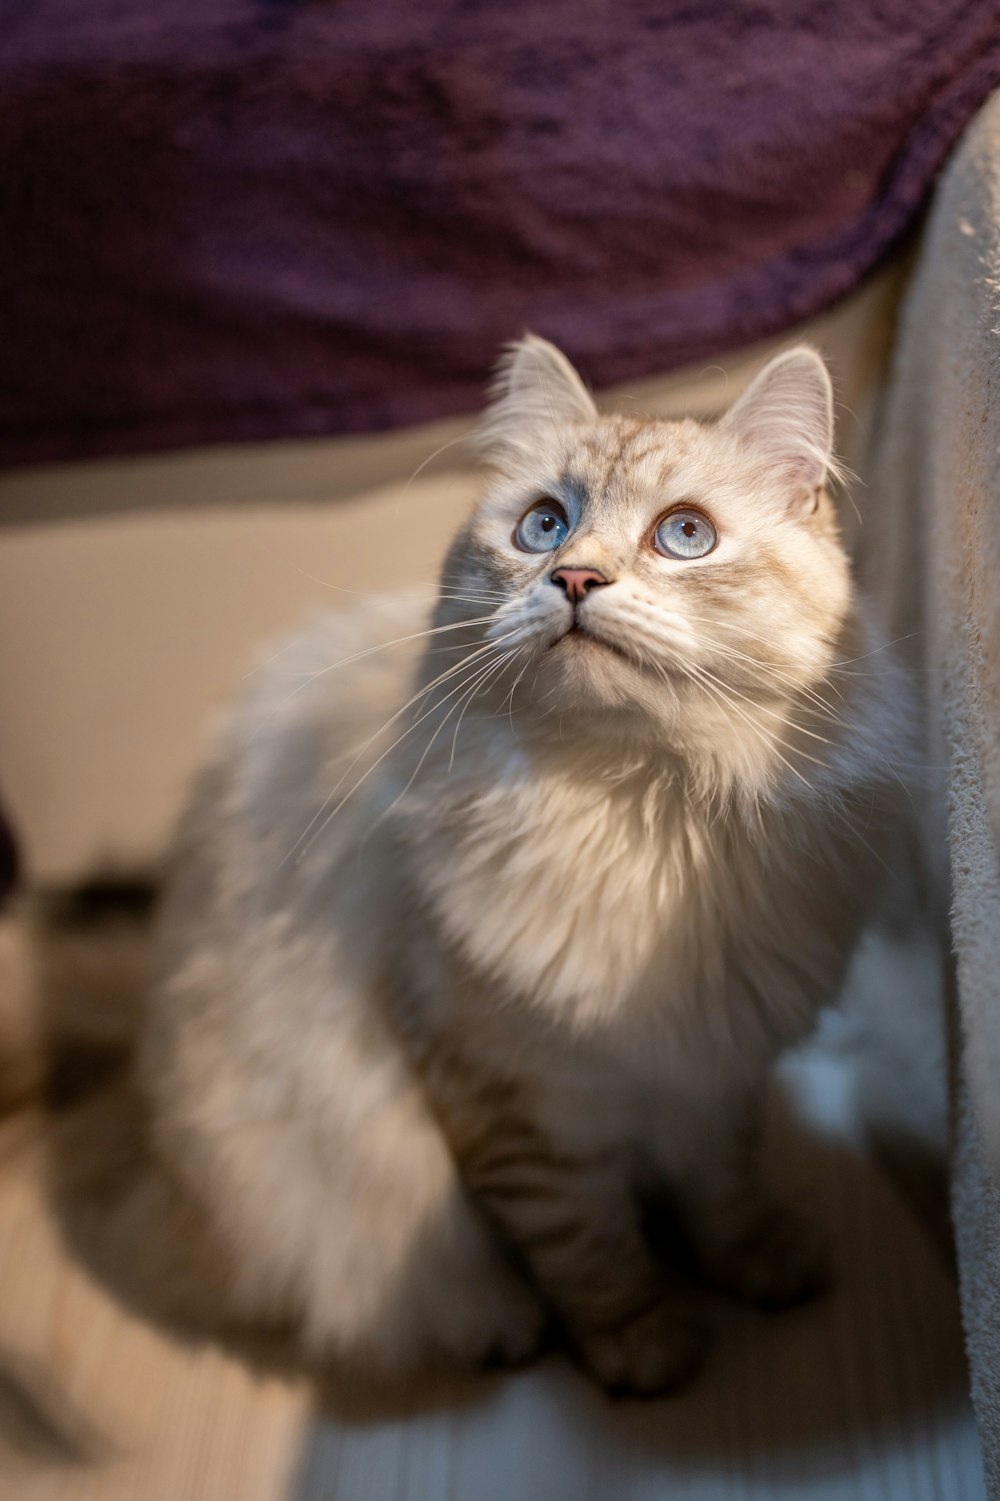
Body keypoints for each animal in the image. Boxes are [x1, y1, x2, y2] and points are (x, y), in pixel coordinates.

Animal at [136, 337, 906, 1392]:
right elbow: (588, 1248)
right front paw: (644, 1348)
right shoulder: (517, 1099)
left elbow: (724, 1190)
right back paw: (501, 1326)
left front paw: (757, 1264)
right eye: (545, 526)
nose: (574, 580)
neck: (638, 814)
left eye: (685, 535)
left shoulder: (712, 1068)